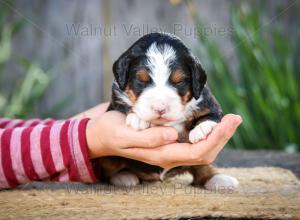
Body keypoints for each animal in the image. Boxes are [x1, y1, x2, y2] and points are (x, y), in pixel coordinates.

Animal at [95, 32, 238, 191]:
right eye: (141, 80)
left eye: (179, 81)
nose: (160, 107)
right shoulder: (116, 98)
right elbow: (124, 105)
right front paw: (138, 119)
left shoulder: (207, 101)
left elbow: (210, 115)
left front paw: (201, 129)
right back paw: (123, 176)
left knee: (202, 166)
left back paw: (218, 179)